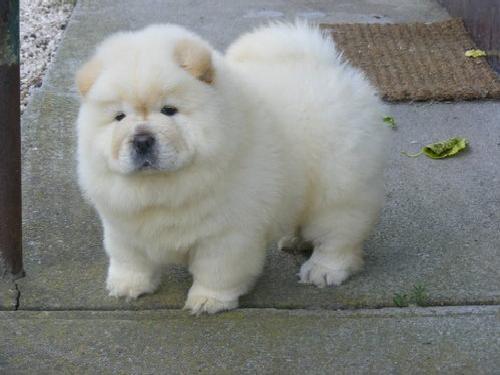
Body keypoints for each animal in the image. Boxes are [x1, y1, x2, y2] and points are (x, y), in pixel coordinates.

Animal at [76, 22, 388, 316]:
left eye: (169, 110)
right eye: (119, 117)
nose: (141, 139)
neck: (163, 187)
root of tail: (329, 66)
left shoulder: (226, 233)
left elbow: (216, 271)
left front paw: (208, 301)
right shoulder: (123, 224)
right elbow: (129, 259)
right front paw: (127, 287)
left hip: (338, 191)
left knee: (339, 236)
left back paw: (323, 270)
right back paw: (294, 240)